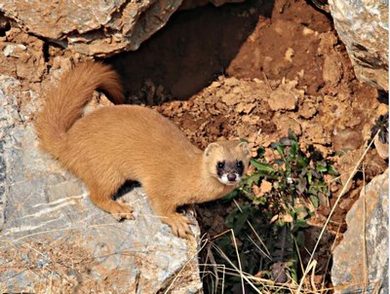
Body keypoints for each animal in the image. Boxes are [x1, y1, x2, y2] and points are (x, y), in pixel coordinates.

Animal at [36, 60, 250, 238]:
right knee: (96, 195)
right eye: (220, 164)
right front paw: (178, 222)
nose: (232, 176)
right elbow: (160, 206)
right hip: (107, 170)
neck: (192, 177)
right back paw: (119, 209)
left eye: (240, 164)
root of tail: (68, 140)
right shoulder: (160, 184)